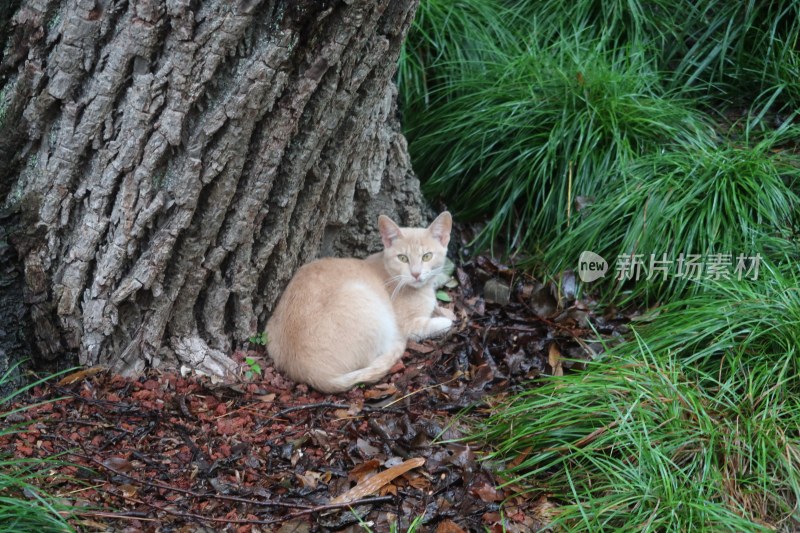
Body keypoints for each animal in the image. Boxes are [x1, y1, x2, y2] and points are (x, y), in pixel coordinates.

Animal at [268, 211, 456, 390]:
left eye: (427, 256)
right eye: (403, 258)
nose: (416, 274)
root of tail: (311, 374)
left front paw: (446, 311)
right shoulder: (408, 325)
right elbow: (428, 325)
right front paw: (446, 321)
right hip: (372, 307)